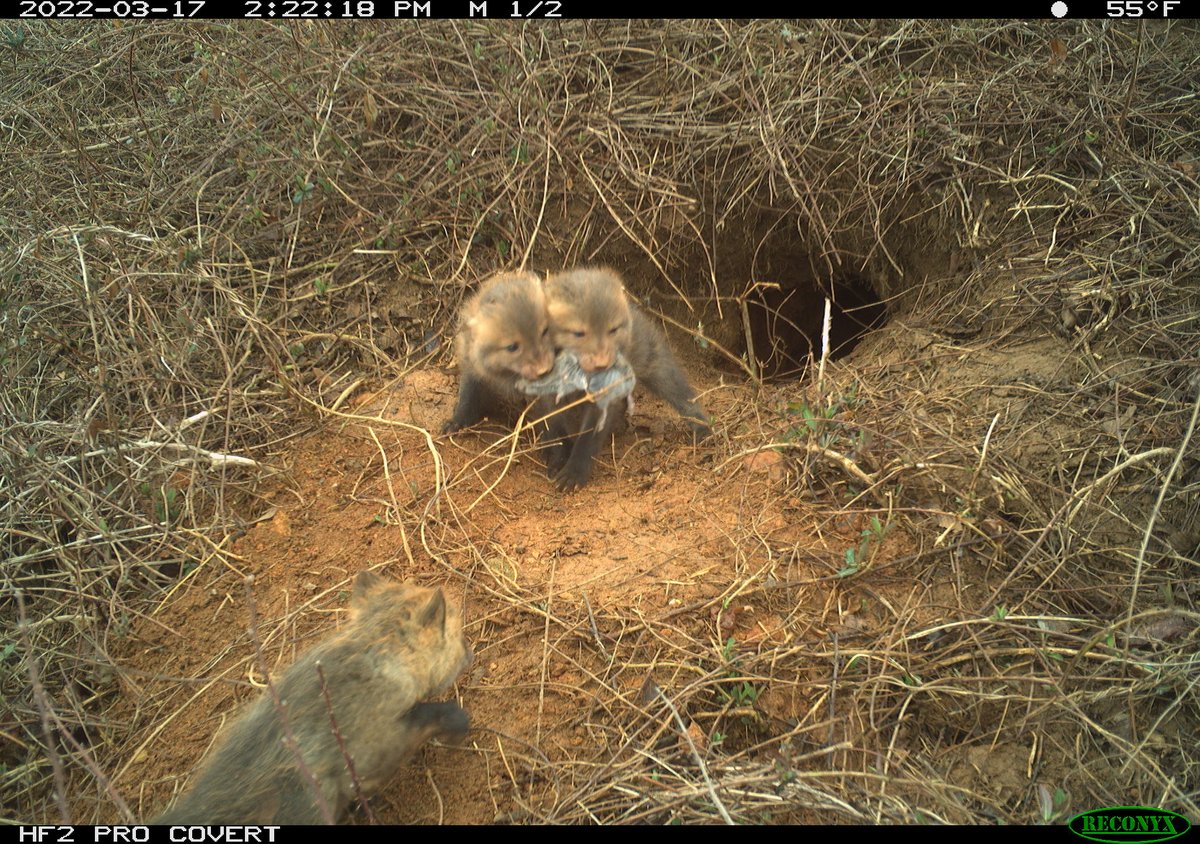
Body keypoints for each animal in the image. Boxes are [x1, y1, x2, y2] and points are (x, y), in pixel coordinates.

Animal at [152, 572, 473, 825]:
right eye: (456, 635)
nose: (469, 653)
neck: (377, 654)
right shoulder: (371, 756)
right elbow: (431, 716)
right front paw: (458, 725)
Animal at [443, 270, 555, 434]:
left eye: (546, 331)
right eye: (512, 347)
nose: (544, 371)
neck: (508, 377)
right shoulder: (472, 370)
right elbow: (466, 400)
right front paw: (455, 422)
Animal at [539, 267, 711, 490]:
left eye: (612, 330)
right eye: (579, 333)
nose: (603, 363)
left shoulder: (602, 396)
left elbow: (587, 440)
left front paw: (574, 473)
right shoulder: (546, 394)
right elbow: (556, 432)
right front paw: (558, 459)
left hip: (656, 368)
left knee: (683, 395)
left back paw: (702, 427)